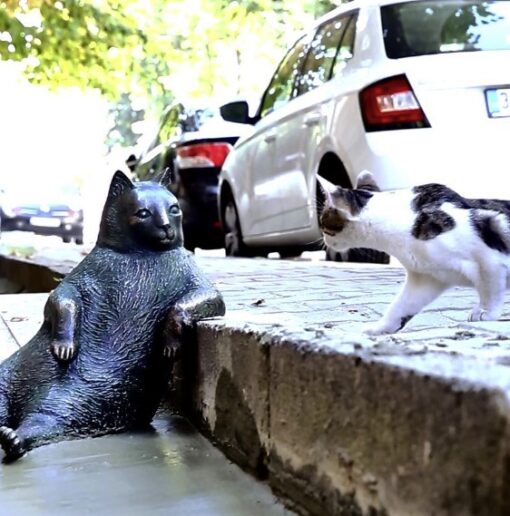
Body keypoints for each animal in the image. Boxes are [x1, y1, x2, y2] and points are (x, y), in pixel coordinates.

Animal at [318, 171, 510, 336]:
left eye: (323, 223)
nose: (323, 240)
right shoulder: (427, 277)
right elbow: (400, 306)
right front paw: (380, 328)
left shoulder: (489, 256)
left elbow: (490, 289)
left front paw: (486, 311)